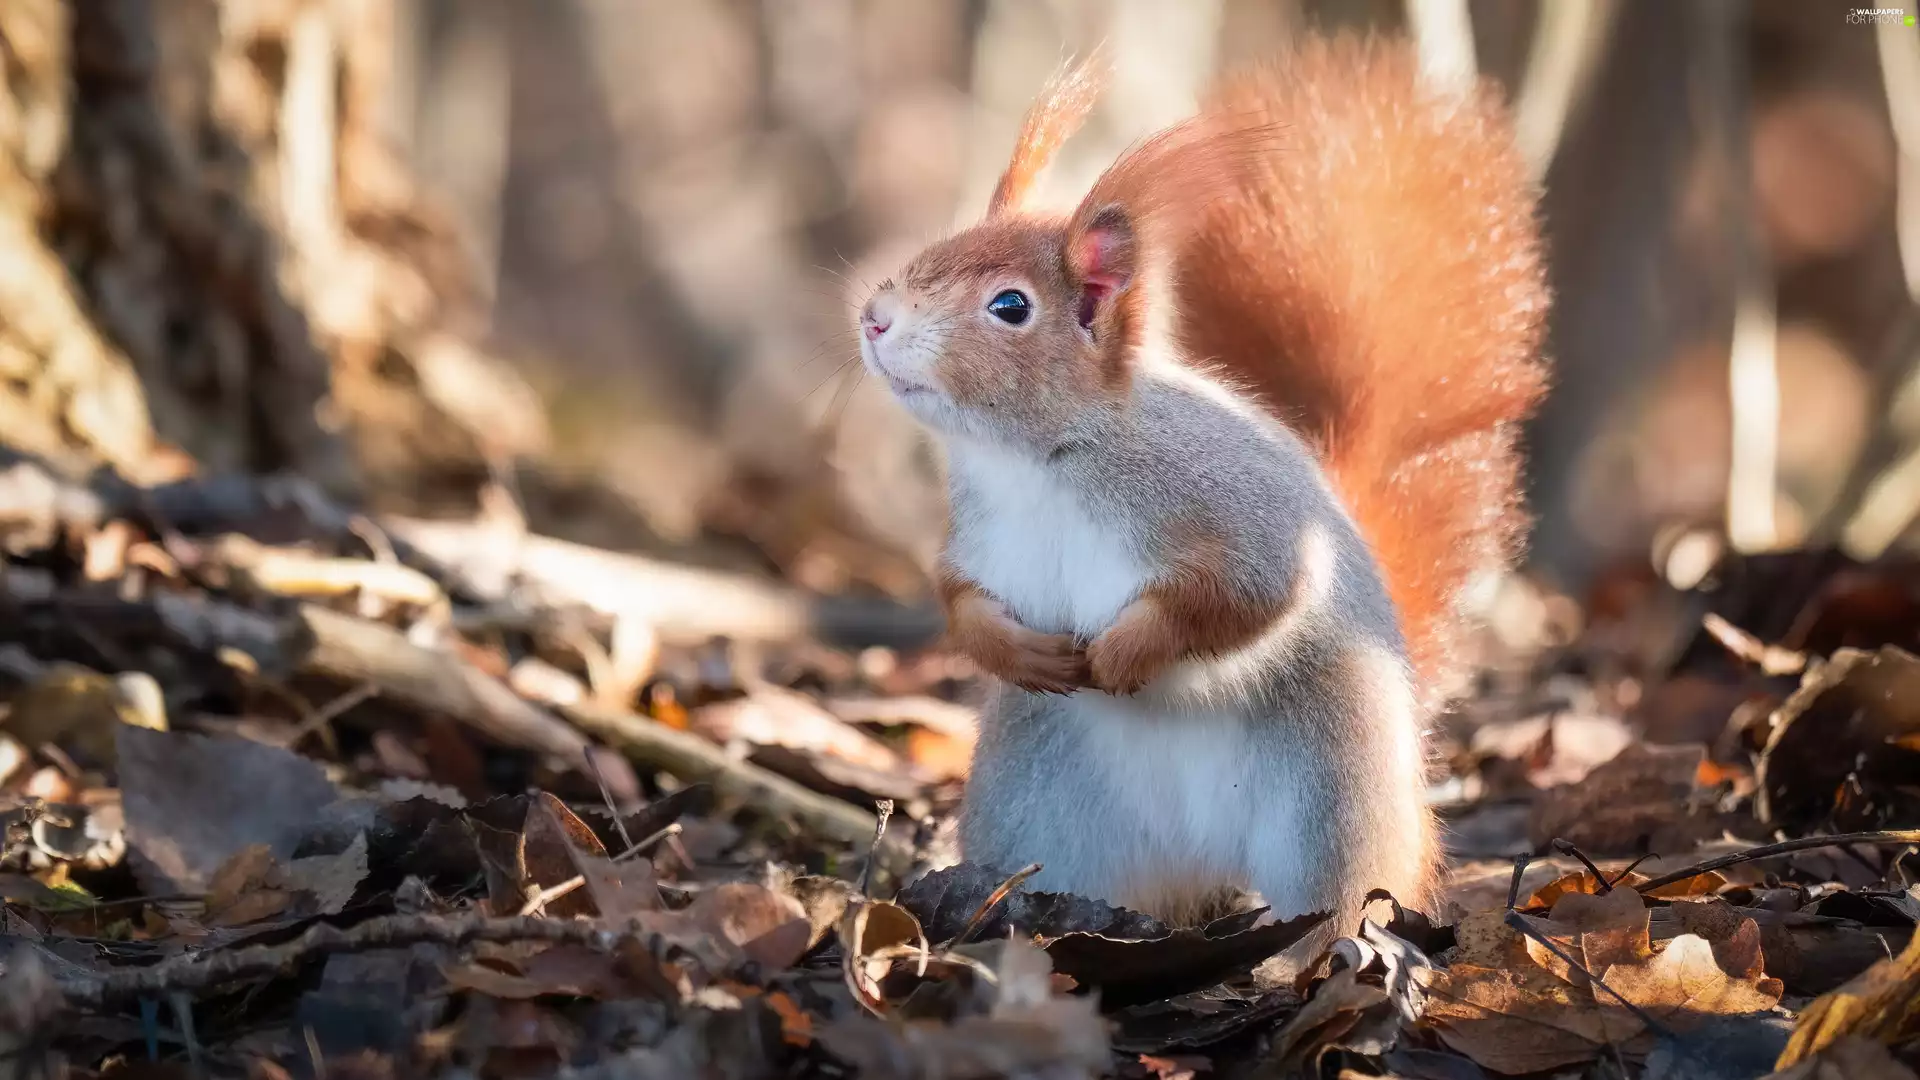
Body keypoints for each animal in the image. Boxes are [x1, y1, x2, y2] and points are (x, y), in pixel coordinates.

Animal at [856, 36, 1548, 932]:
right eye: (934, 250)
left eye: (1010, 307)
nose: (874, 318)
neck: (1037, 462)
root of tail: (1202, 855)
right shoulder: (977, 539)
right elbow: (956, 597)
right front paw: (1013, 648)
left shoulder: (1227, 504)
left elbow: (1247, 593)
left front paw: (1125, 651)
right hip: (1036, 802)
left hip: (1331, 788)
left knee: (1341, 895)